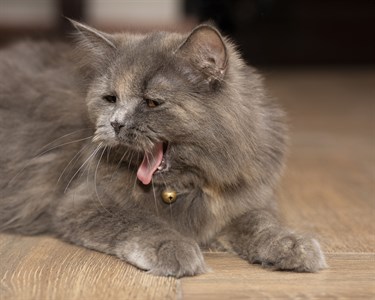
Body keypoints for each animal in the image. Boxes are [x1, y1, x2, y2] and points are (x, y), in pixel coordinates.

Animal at [0, 21, 328, 278]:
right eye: (110, 99)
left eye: (152, 102)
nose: (116, 123)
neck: (183, 187)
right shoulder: (82, 203)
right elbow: (137, 221)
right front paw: (174, 247)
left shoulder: (247, 199)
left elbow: (262, 223)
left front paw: (291, 244)